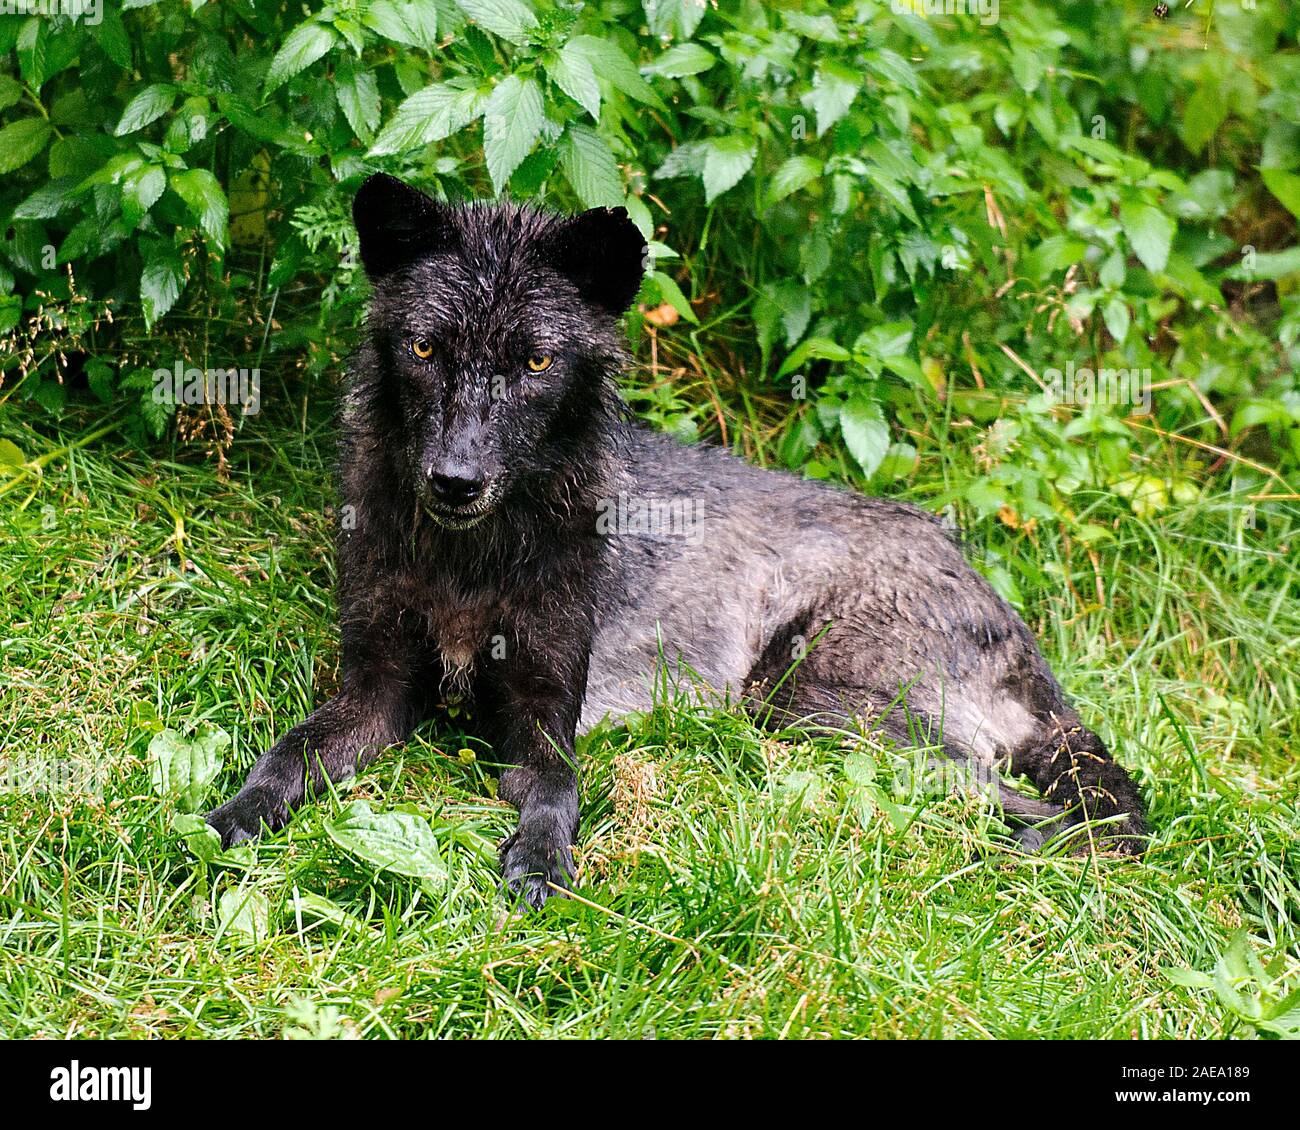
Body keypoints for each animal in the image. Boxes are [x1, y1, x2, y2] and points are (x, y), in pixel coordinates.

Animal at [208, 174, 1154, 910]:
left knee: (1076, 817)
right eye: (426, 347)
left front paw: (541, 864)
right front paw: (229, 819)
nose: (454, 482)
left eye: (536, 363)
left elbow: (555, 794)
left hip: (816, 704)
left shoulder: (548, 717)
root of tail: (997, 600)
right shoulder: (377, 690)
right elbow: (287, 751)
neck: (471, 563)